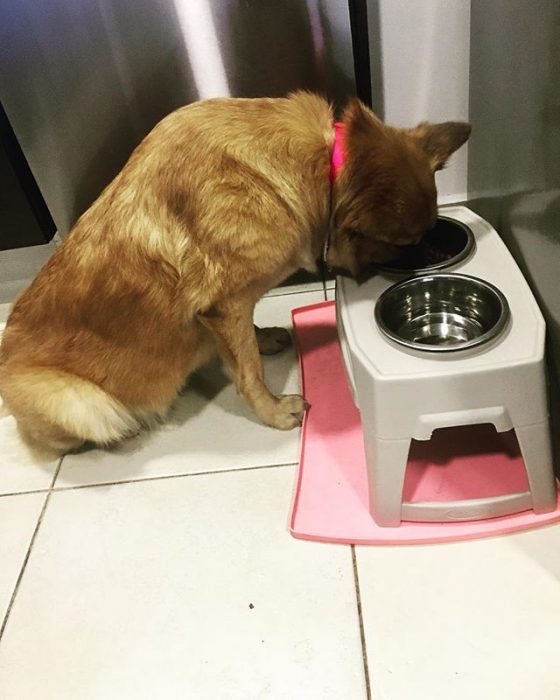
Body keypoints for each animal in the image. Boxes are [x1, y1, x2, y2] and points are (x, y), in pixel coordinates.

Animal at [0, 93, 472, 454]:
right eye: (404, 242)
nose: (431, 259)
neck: (322, 164)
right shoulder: (224, 306)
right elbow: (248, 373)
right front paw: (273, 411)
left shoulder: (231, 310)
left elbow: (244, 343)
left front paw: (261, 338)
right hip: (81, 403)